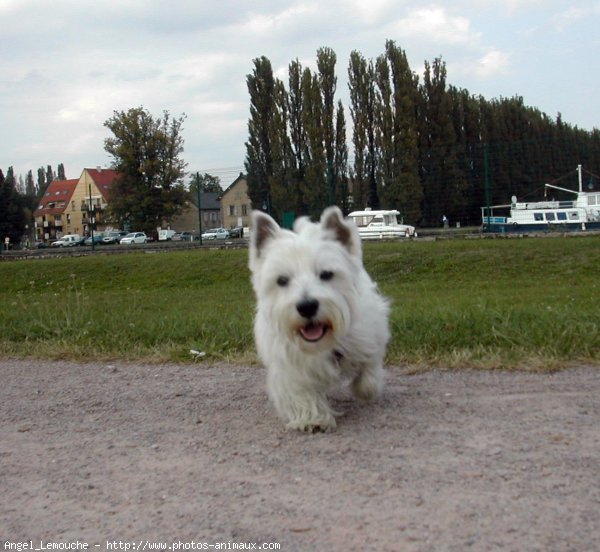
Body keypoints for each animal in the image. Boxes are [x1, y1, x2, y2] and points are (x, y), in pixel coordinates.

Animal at [247, 207, 390, 432]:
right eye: (282, 280)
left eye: (326, 274)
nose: (307, 306)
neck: (323, 342)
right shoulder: (290, 365)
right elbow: (301, 392)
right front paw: (313, 418)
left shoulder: (370, 334)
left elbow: (369, 366)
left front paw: (366, 390)